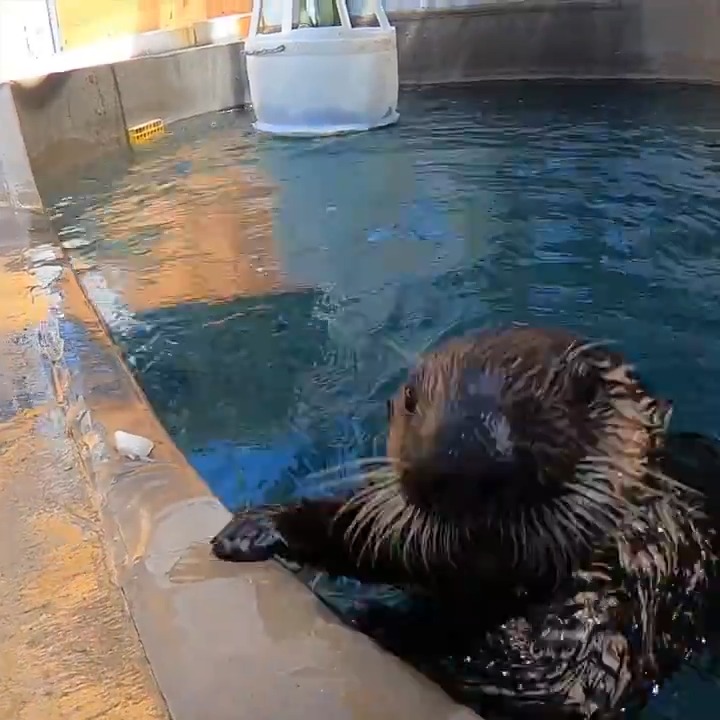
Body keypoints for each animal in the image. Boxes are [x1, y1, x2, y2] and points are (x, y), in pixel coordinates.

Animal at [211, 325, 719, 718]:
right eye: (411, 398)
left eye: (586, 390)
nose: (466, 456)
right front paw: (257, 527)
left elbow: (548, 681)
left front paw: (375, 618)